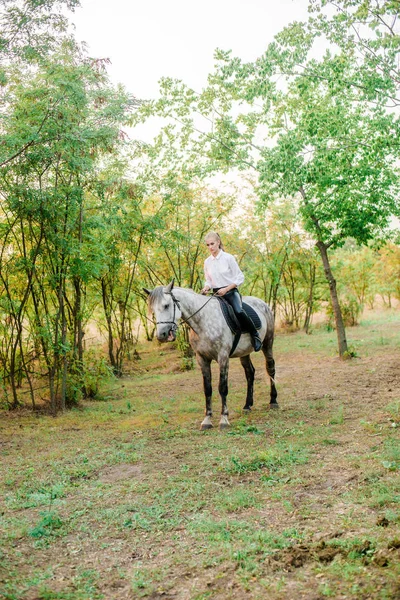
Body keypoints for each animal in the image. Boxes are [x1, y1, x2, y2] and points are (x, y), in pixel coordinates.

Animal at [145, 278, 278, 428]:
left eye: (167, 305)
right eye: (153, 310)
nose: (161, 335)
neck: (203, 321)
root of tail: (262, 303)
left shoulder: (223, 357)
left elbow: (223, 387)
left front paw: (224, 418)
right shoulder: (202, 359)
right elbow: (207, 388)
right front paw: (207, 419)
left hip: (268, 343)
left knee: (270, 367)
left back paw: (273, 401)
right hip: (244, 352)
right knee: (250, 373)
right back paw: (247, 405)